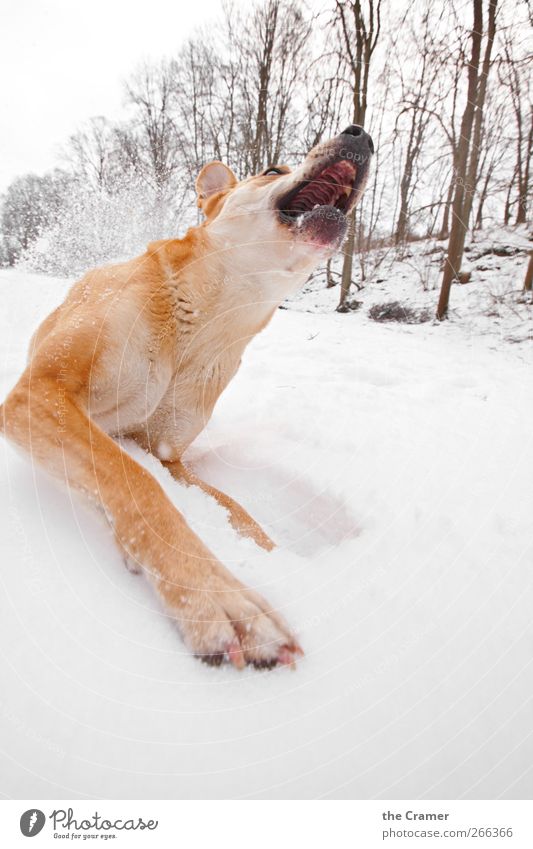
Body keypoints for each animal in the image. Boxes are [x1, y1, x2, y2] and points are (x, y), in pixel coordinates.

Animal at [1, 124, 374, 668]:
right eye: (273, 170)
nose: (360, 133)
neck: (208, 323)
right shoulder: (41, 392)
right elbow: (136, 482)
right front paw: (216, 596)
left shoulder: (170, 457)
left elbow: (237, 511)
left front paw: (274, 555)